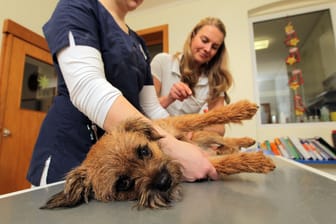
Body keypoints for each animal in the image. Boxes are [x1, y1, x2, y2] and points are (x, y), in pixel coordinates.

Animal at [40, 100, 276, 210]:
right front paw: (256, 160)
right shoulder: (202, 164)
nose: (163, 181)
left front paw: (242, 109)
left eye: (143, 150)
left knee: (225, 141)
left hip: (205, 135)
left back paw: (245, 140)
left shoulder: (177, 124)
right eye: (123, 183)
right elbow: (227, 162)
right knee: (225, 148)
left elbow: (205, 116)